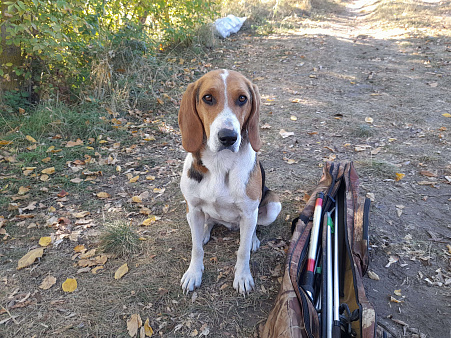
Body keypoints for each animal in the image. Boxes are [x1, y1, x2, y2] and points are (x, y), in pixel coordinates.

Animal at [178, 68, 280, 294]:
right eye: (208, 98)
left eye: (242, 99)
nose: (228, 137)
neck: (219, 163)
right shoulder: (193, 208)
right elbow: (196, 248)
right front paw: (194, 273)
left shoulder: (249, 213)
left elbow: (243, 251)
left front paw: (242, 276)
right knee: (208, 223)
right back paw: (205, 231)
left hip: (273, 206)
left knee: (253, 228)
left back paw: (253, 239)